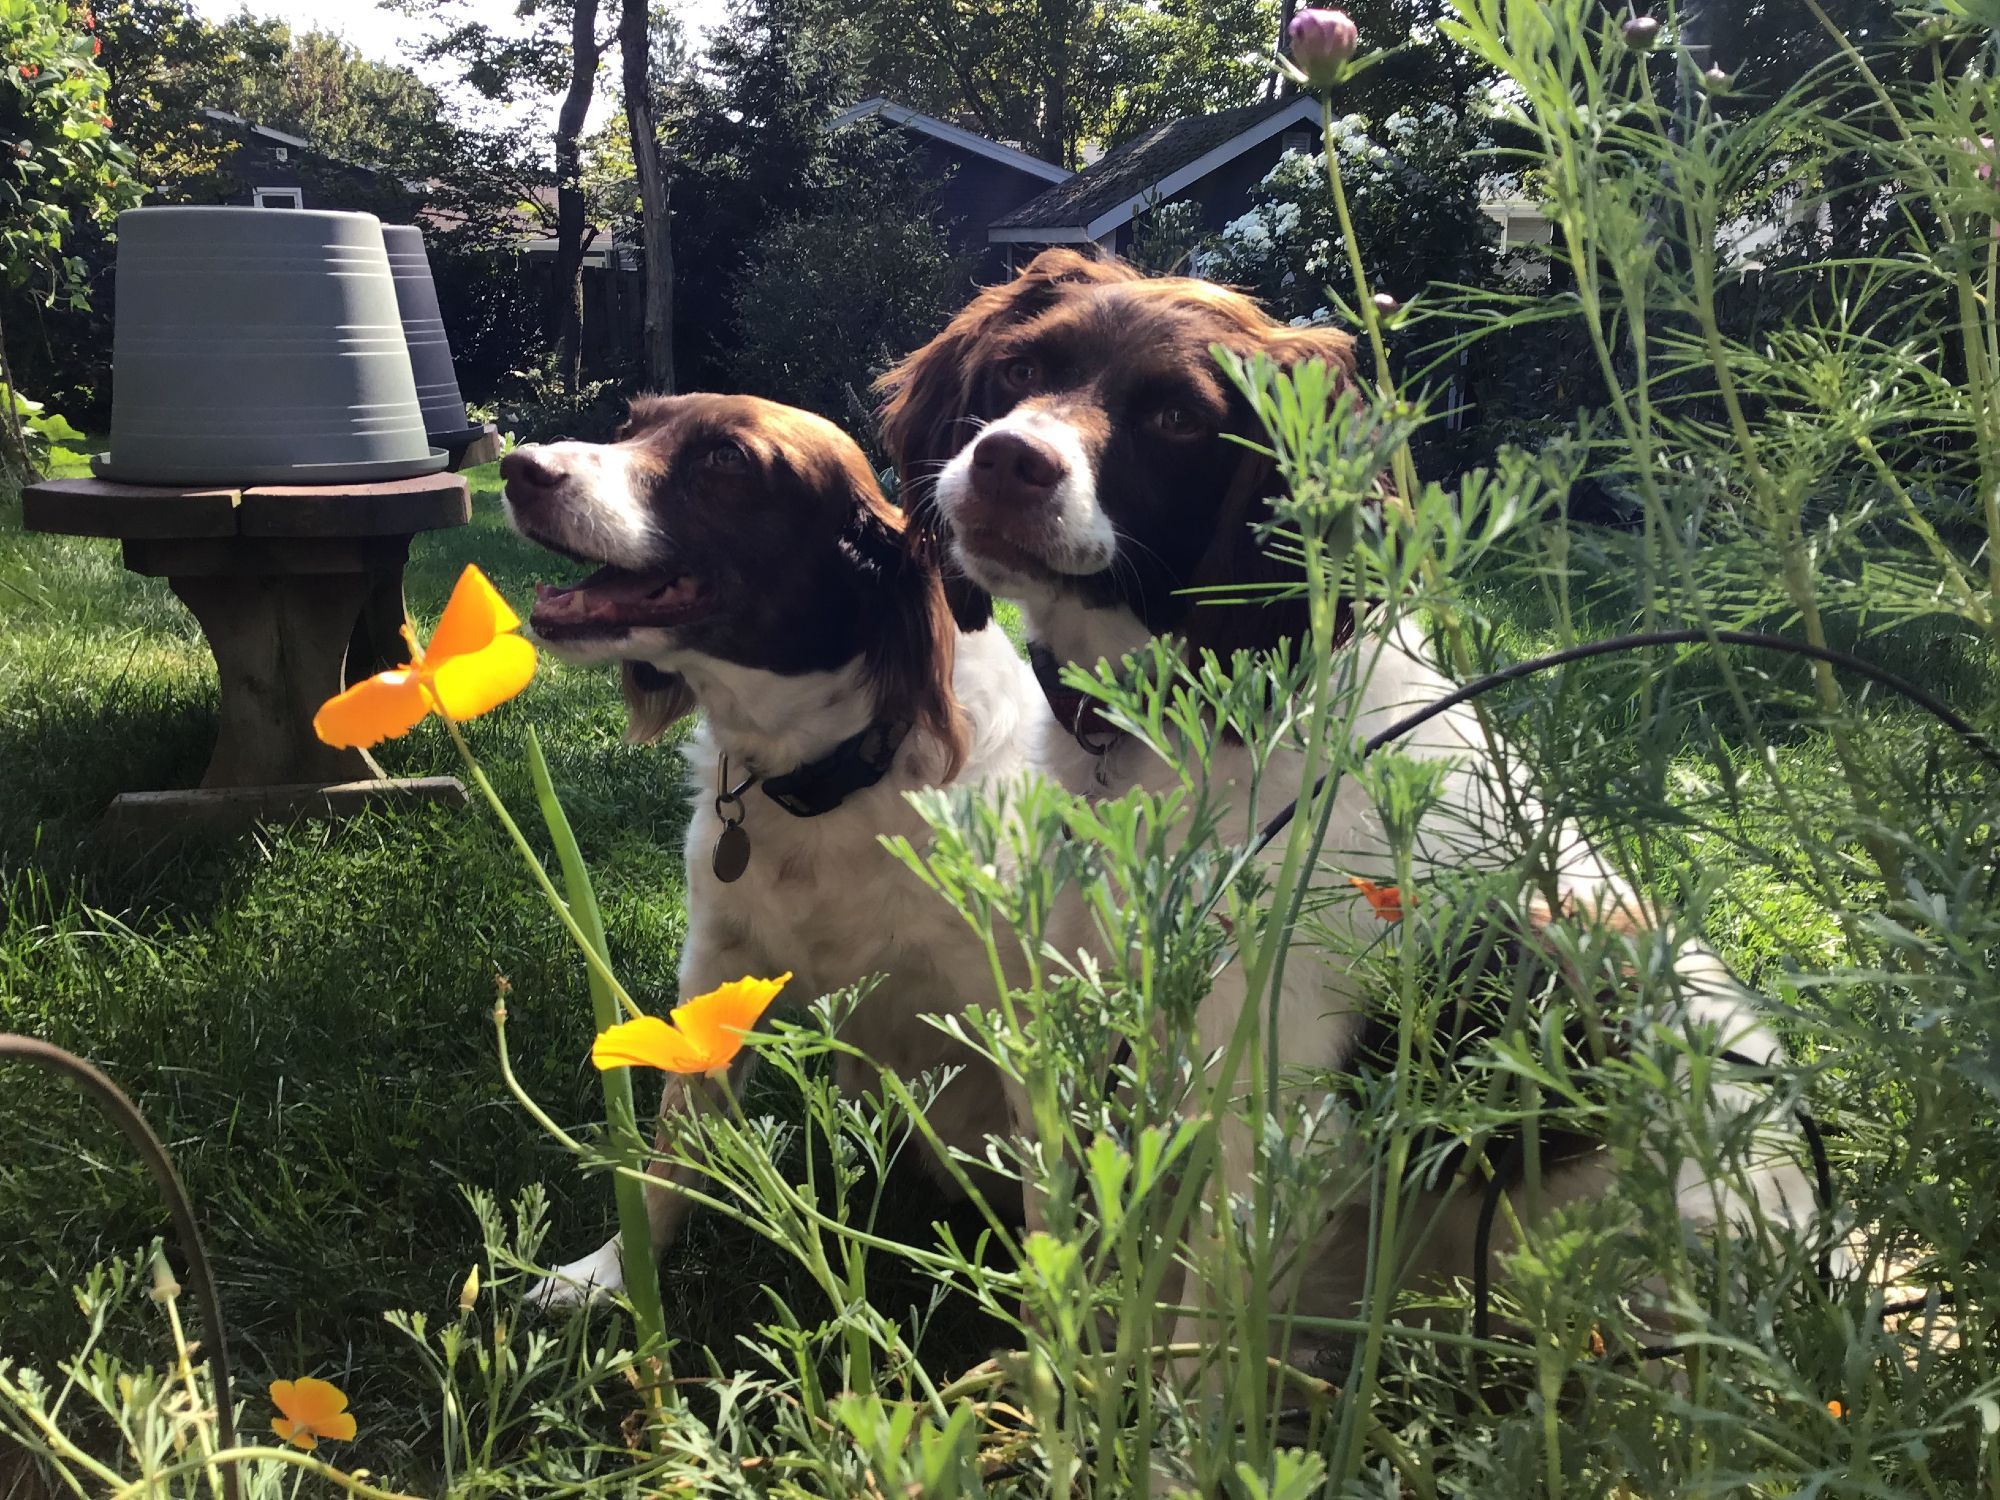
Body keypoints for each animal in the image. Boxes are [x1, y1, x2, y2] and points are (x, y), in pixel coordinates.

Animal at [508, 396, 1088, 1304]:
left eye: (727, 460)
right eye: (630, 424)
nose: (518, 466)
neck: (828, 774)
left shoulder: (1020, 1031)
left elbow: (1047, 1236)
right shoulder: (717, 970)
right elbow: (672, 1154)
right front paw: (610, 1276)